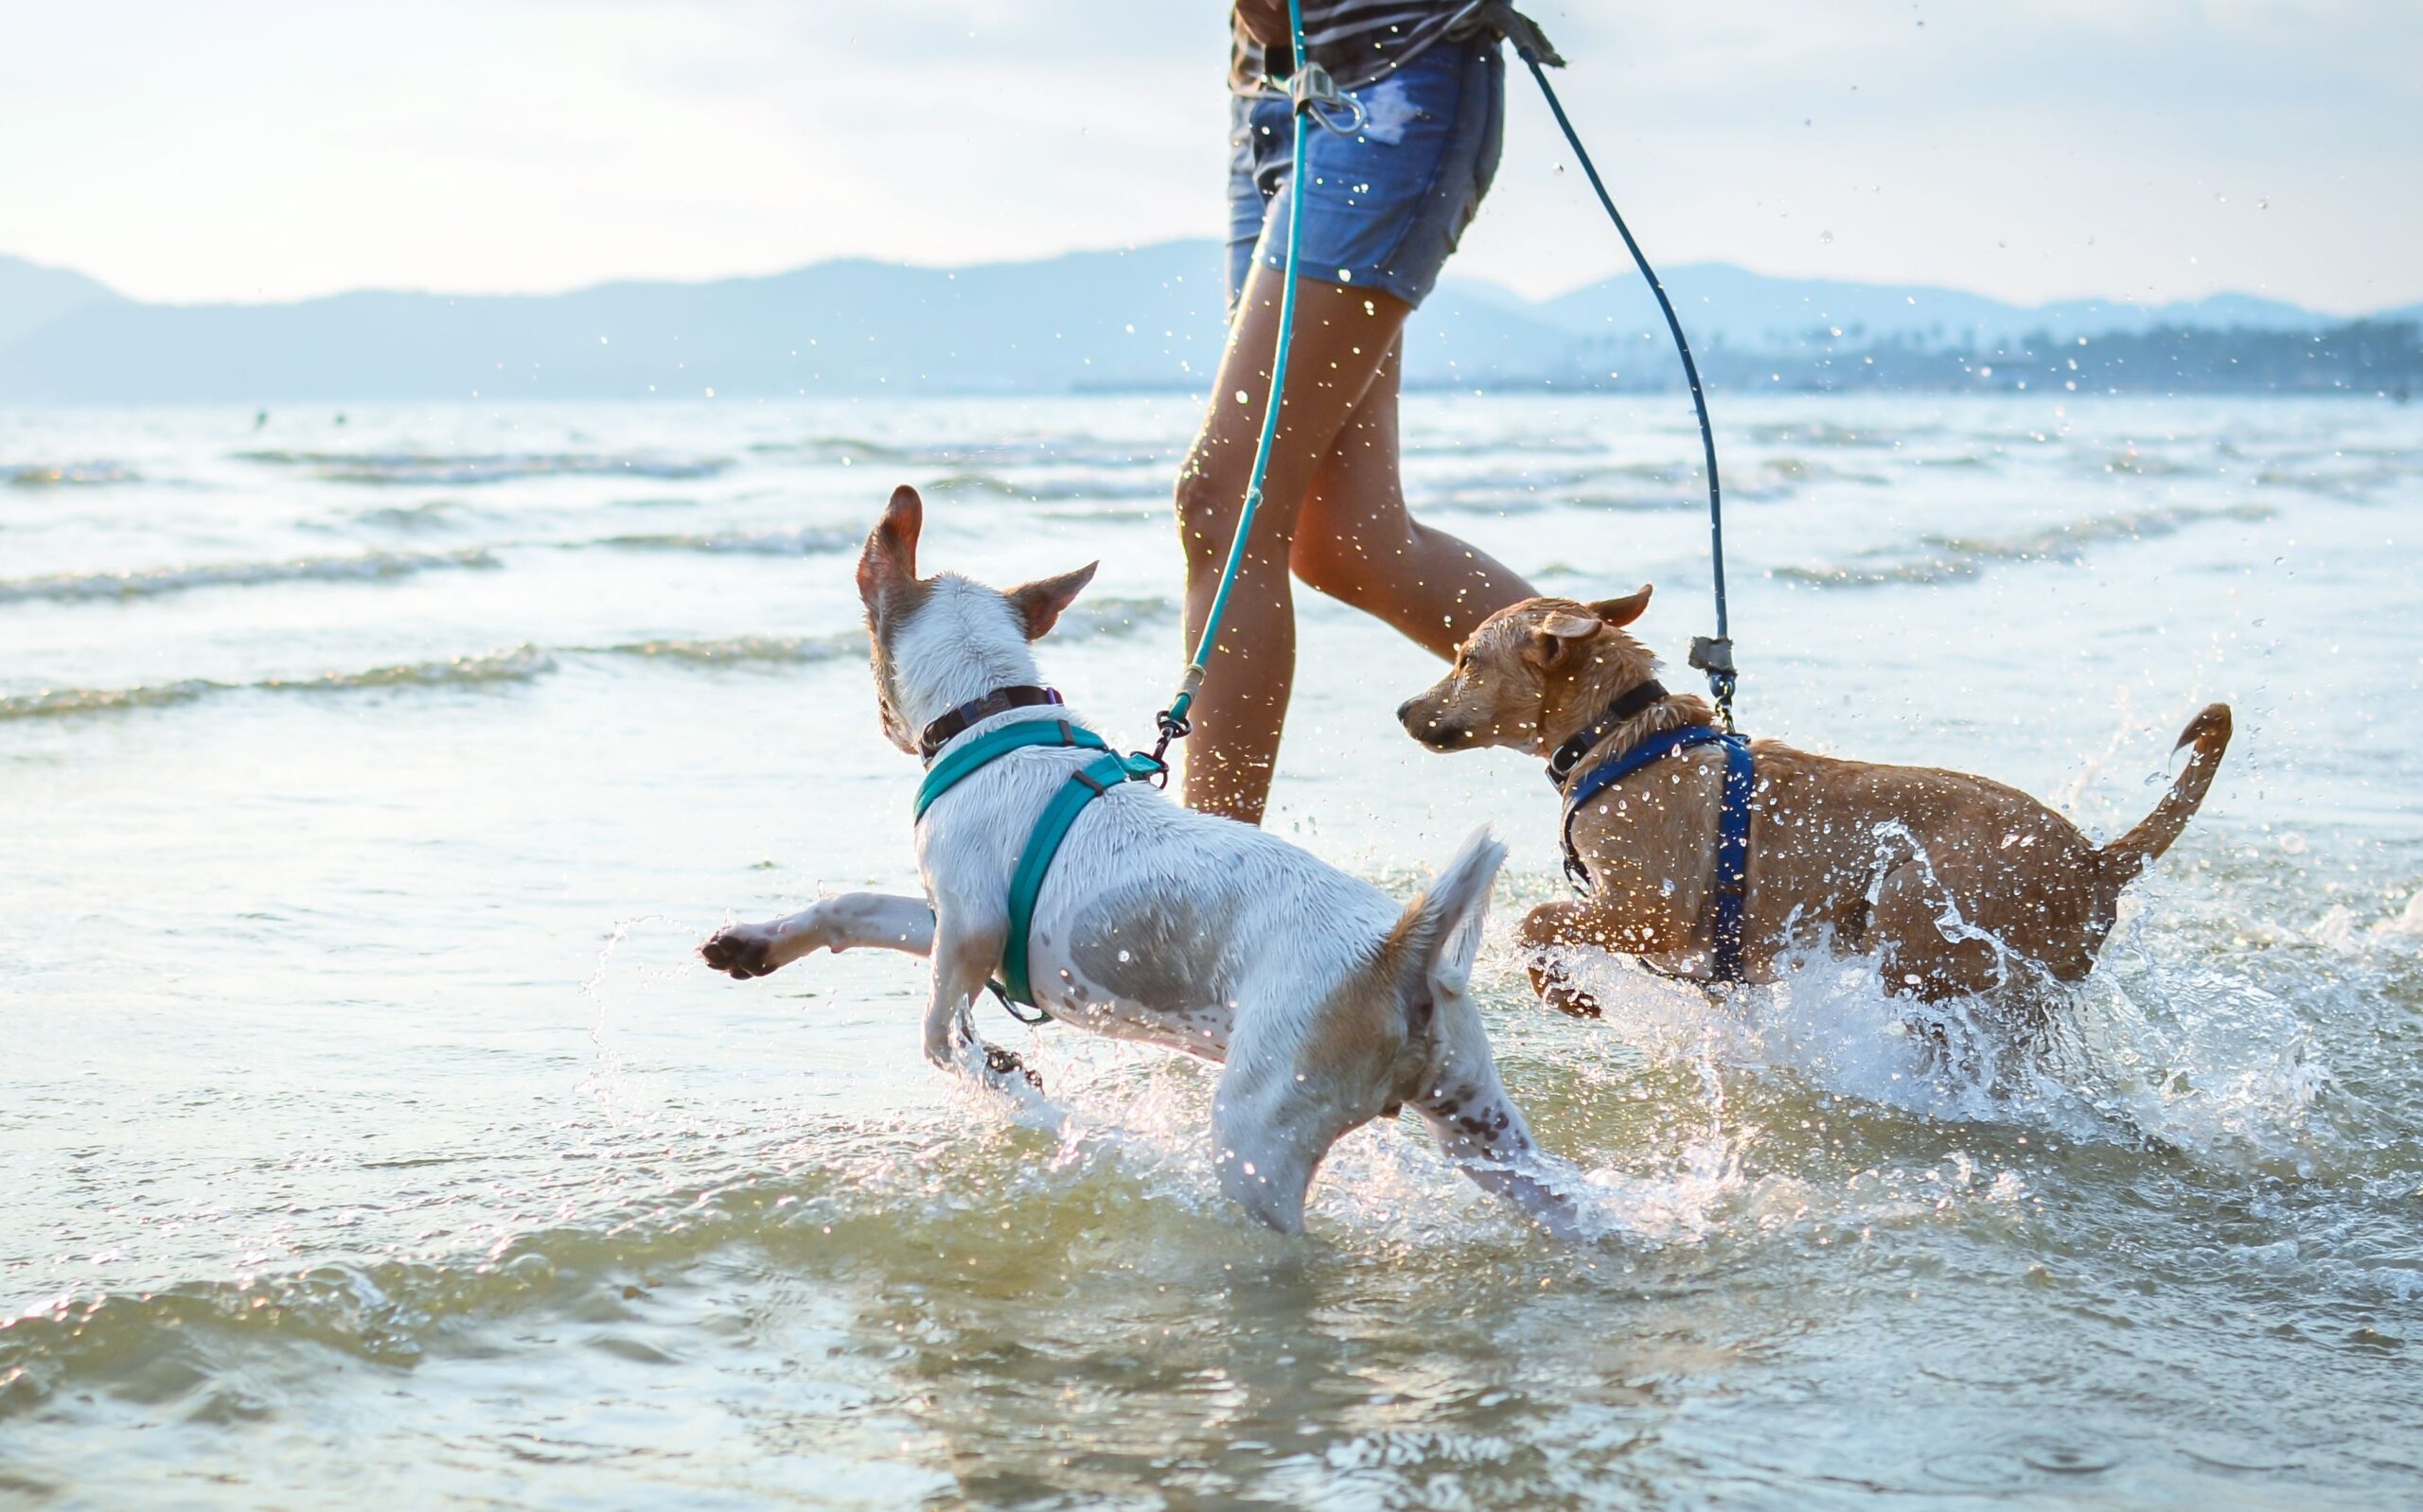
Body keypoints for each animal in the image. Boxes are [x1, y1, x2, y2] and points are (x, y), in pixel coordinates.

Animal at [702, 489, 1569, 1236]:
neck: (994, 717)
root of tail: (1399, 953)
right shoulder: (954, 918)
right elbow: (852, 909)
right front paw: (755, 944)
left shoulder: (972, 928)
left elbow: (940, 1033)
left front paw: (1007, 1081)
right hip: (1484, 1130)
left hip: (1259, 1138)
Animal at [1405, 589, 2229, 1017]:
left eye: (1467, 659)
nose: (1404, 710)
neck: (1621, 738)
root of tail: (2096, 861)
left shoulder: (1647, 909)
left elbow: (1536, 919)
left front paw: (1564, 991)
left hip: (1915, 907)